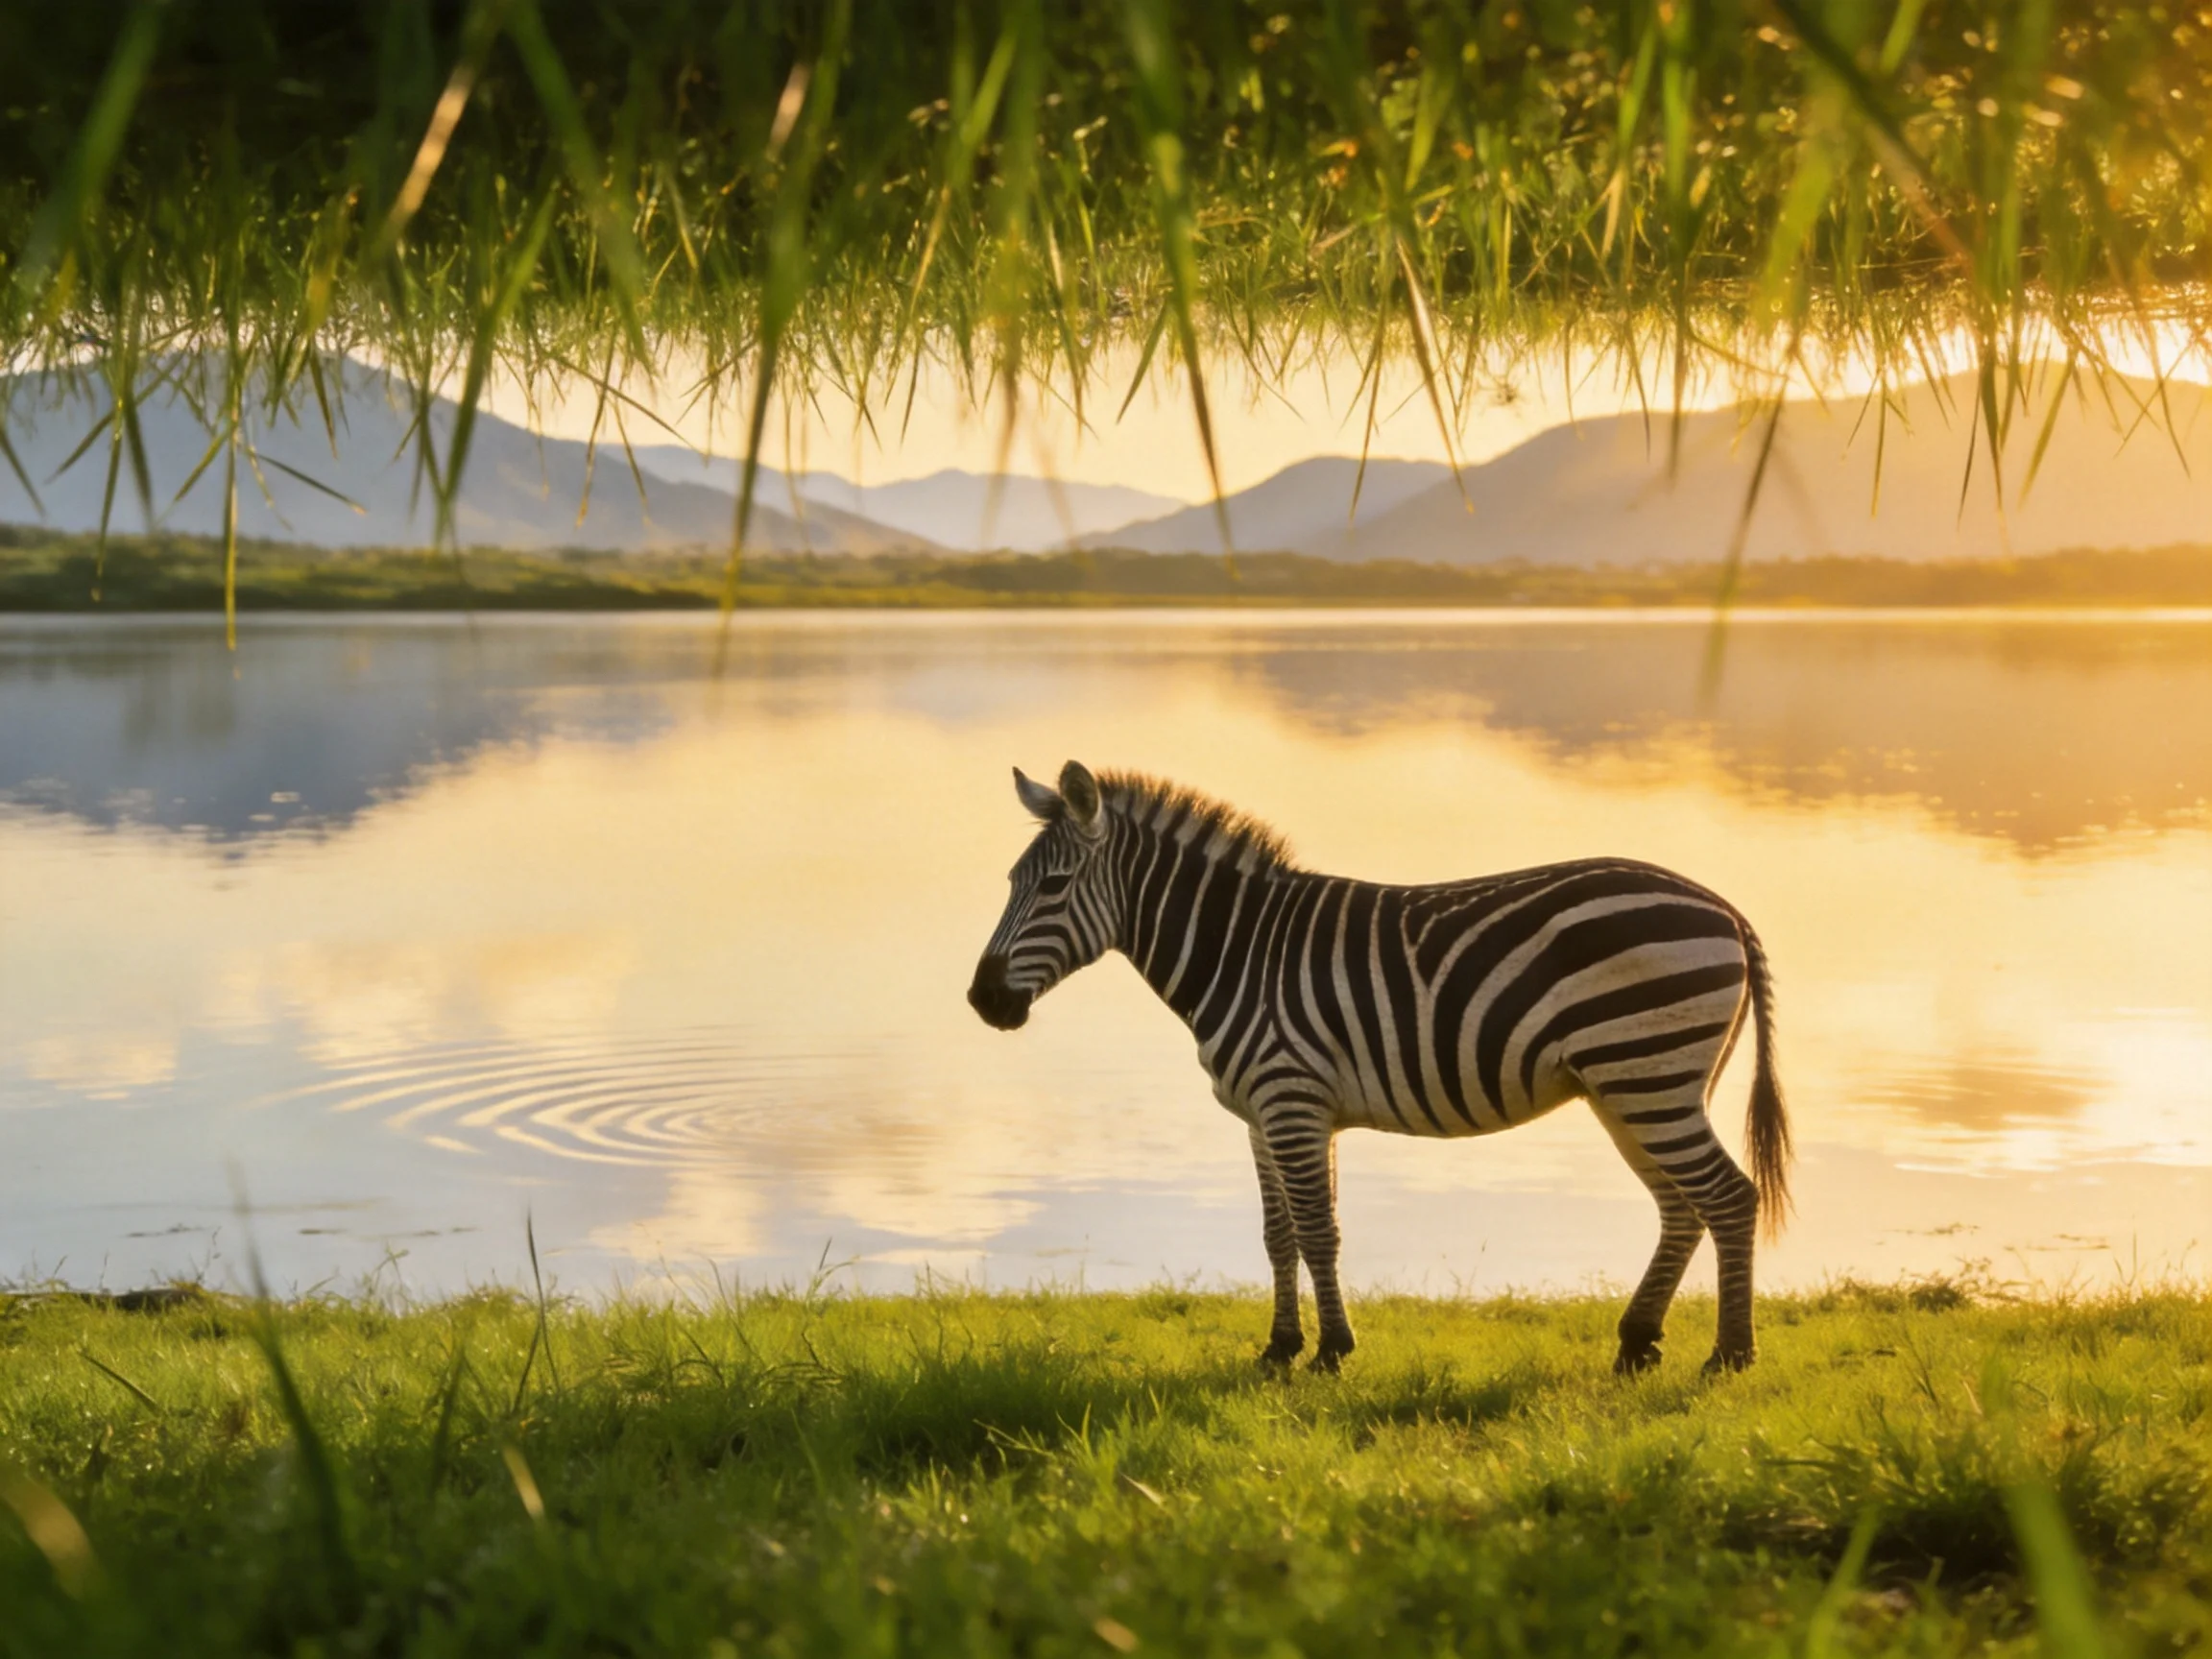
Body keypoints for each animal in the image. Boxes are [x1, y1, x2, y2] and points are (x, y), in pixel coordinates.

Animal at [967, 761, 1793, 1376]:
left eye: (1052, 886)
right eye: (1008, 883)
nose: (983, 1001)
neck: (1238, 951)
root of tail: (1724, 907)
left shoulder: (1292, 1101)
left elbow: (1318, 1229)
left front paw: (1333, 1350)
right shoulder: (1262, 1115)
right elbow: (1278, 1234)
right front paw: (1279, 1348)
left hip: (1645, 1074)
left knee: (1728, 1197)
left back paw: (1728, 1356)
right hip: (1631, 1086)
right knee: (1681, 1205)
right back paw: (1637, 1343)